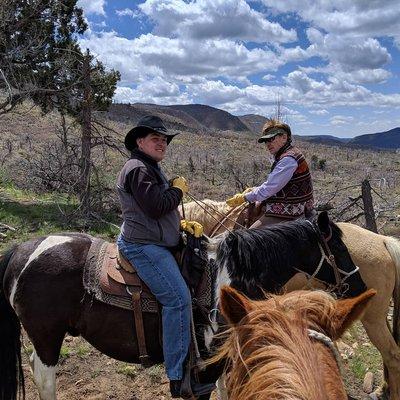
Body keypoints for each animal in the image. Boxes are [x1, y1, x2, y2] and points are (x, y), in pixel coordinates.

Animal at [0, 212, 360, 396]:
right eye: (340, 247)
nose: (358, 284)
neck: (227, 279)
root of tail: (21, 249)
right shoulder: (205, 366)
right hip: (47, 334)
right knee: (45, 377)